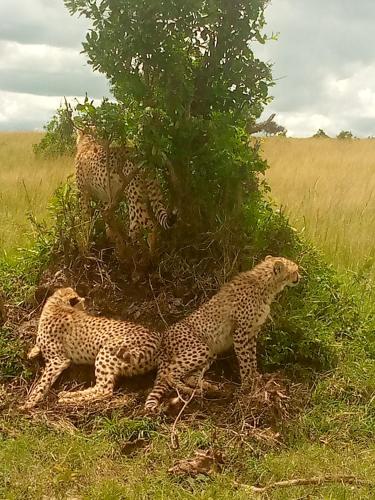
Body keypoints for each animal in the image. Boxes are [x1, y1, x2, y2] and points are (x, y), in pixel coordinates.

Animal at [22, 288, 162, 408]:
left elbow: (42, 383)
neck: (57, 306)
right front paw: (32, 352)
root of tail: (158, 338)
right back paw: (68, 394)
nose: (86, 312)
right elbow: (37, 347)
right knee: (100, 388)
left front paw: (28, 403)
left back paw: (68, 399)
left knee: (104, 391)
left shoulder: (58, 360)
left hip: (108, 352)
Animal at [144, 256, 302, 412]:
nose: (299, 277)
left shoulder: (252, 333)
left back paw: (208, 386)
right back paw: (190, 391)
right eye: (295, 270)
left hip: (210, 352)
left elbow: (252, 358)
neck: (265, 286)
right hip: (201, 348)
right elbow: (245, 361)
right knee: (170, 373)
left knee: (188, 376)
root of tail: (164, 337)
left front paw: (255, 376)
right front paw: (247, 384)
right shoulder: (240, 334)